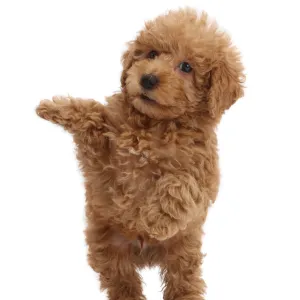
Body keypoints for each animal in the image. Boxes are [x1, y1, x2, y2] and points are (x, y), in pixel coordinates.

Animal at [36, 8, 245, 300]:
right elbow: (91, 112)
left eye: (186, 67)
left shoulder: (203, 175)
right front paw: (53, 107)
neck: (155, 124)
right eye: (152, 54)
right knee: (122, 281)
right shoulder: (103, 157)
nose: (147, 79)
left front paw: (153, 220)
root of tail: (145, 256)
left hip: (184, 250)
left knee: (184, 279)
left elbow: (180, 185)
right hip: (107, 247)